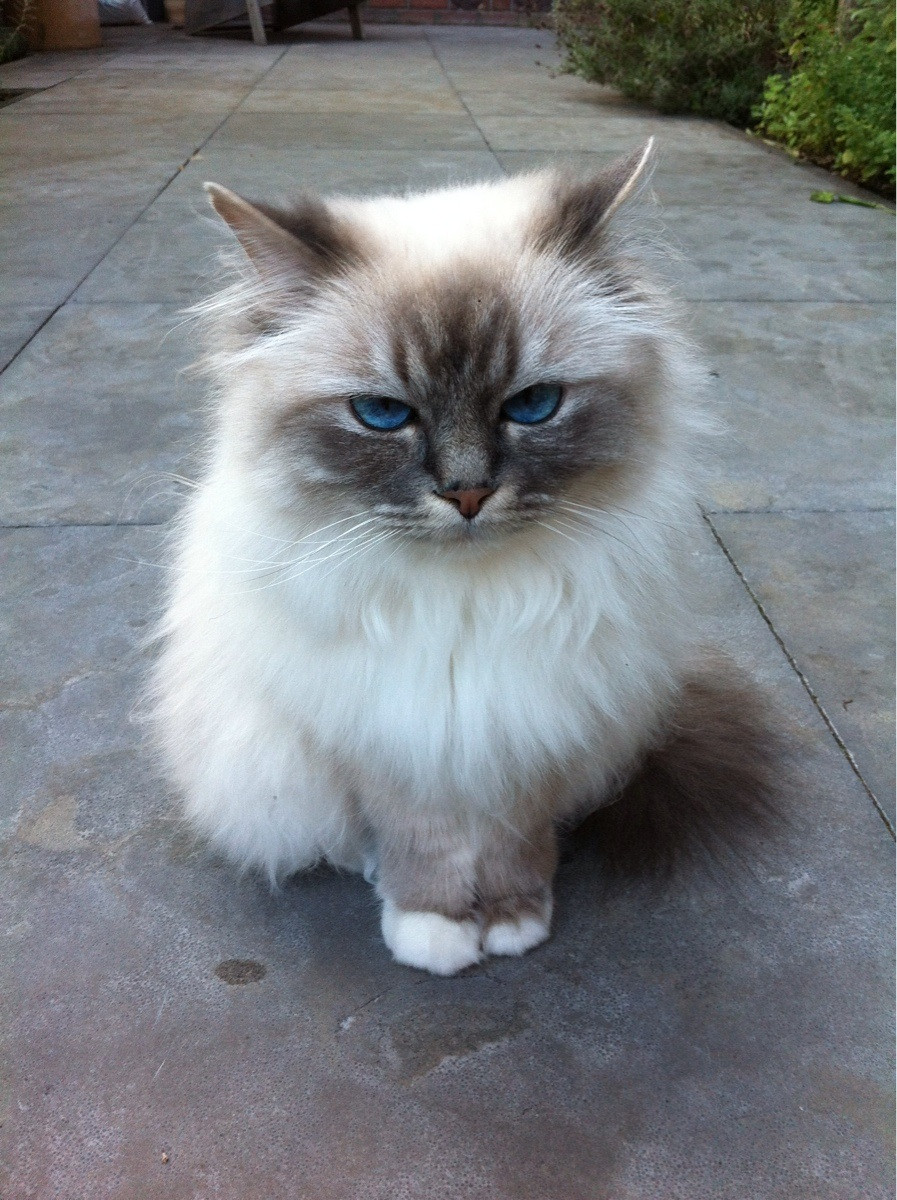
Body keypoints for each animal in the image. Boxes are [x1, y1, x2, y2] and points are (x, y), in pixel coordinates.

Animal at [150, 145, 781, 979]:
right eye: (382, 414)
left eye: (533, 405)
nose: (468, 493)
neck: (472, 603)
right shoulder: (394, 739)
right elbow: (428, 849)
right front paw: (435, 931)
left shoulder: (529, 730)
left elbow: (515, 844)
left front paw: (513, 920)